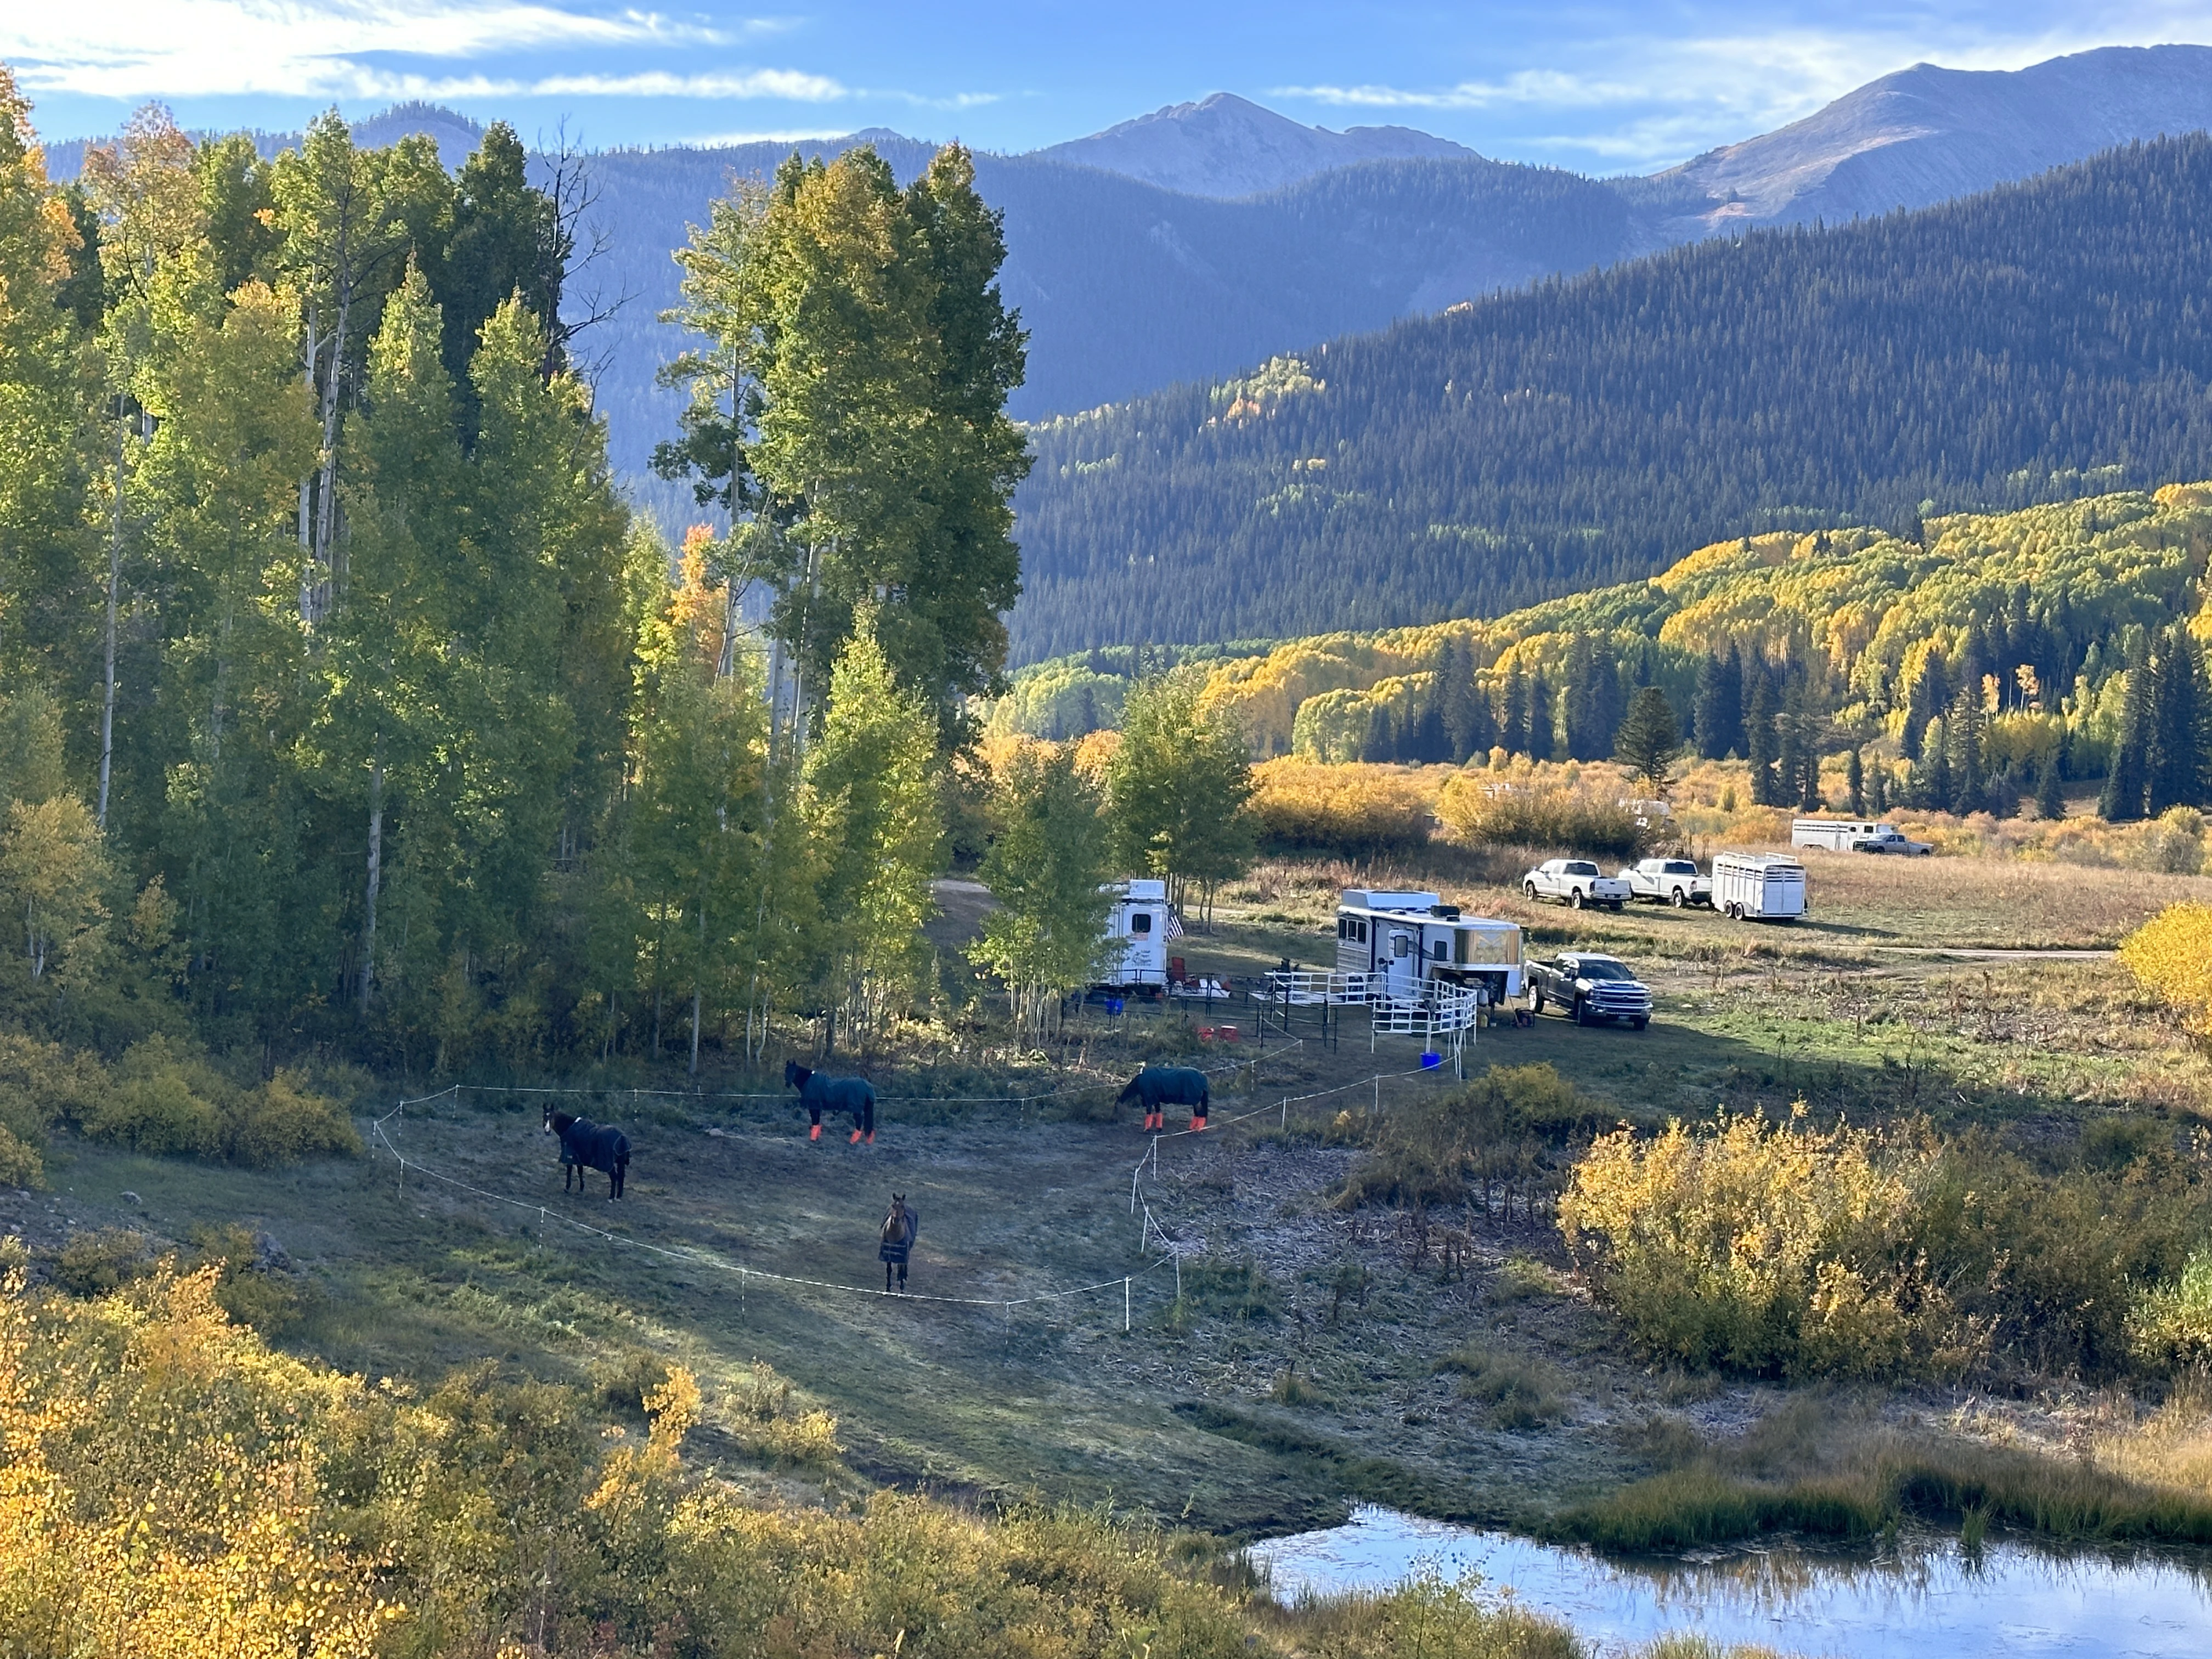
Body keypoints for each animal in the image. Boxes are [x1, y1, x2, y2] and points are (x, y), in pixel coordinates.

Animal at [544, 1106, 630, 1199]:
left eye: (552, 1117)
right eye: (544, 1117)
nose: (547, 1131)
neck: (569, 1126)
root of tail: (622, 1137)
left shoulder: (570, 1156)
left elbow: (570, 1171)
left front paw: (567, 1188)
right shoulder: (579, 1157)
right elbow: (580, 1171)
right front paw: (581, 1188)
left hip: (608, 1164)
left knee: (614, 1177)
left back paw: (611, 1197)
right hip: (620, 1162)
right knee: (621, 1176)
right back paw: (619, 1196)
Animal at [786, 1061, 876, 1144]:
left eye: (794, 1072)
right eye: (786, 1071)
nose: (787, 1084)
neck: (809, 1080)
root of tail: (868, 1086)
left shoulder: (813, 1107)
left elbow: (815, 1122)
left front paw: (813, 1139)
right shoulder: (817, 1107)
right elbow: (817, 1122)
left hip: (856, 1109)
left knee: (859, 1123)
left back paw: (852, 1142)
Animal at [878, 1193, 919, 1292]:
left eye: (902, 1206)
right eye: (893, 1206)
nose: (896, 1220)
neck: (895, 1236)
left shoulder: (903, 1254)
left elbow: (902, 1268)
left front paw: (902, 1287)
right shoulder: (888, 1254)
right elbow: (889, 1270)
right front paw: (888, 1287)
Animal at [1116, 1065, 1210, 1132]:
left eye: (1115, 1108)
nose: (1115, 1119)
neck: (1140, 1081)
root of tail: (1203, 1078)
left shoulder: (1149, 1100)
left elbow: (1149, 1114)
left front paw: (1147, 1129)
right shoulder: (1156, 1100)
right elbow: (1158, 1113)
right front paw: (1159, 1128)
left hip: (1196, 1102)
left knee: (1200, 1113)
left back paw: (1197, 1128)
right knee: (1199, 1113)